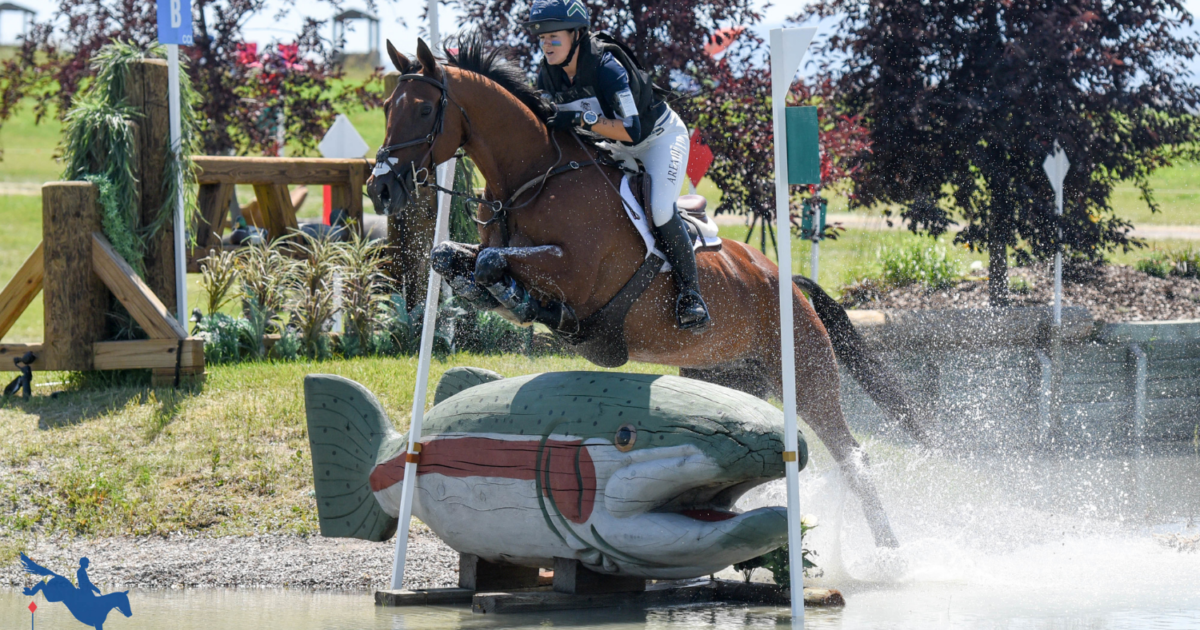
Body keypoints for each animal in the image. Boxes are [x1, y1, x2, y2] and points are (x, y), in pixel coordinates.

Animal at [364, 38, 926, 544]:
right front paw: (504, 297)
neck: (531, 181)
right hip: (726, 377)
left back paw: (890, 556)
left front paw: (528, 302)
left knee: (853, 457)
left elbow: (493, 263)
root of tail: (788, 282)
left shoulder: (579, 273)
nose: (381, 189)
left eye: (422, 108)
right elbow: (455, 258)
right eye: (387, 107)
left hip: (806, 374)